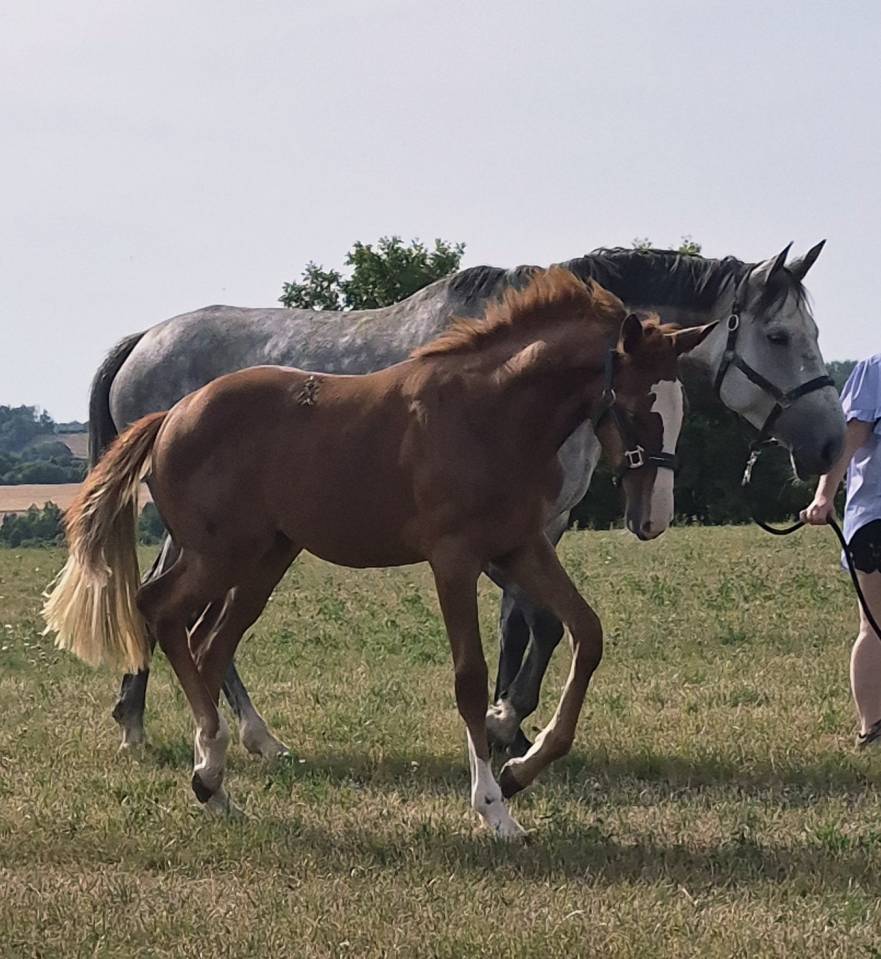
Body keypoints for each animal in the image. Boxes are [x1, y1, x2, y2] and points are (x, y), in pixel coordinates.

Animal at [45, 271, 713, 836]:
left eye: (681, 410)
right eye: (637, 409)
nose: (653, 518)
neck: (490, 415)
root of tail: (170, 415)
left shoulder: (520, 548)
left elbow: (586, 633)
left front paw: (522, 768)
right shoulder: (454, 559)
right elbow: (471, 679)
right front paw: (493, 807)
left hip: (265, 560)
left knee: (208, 643)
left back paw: (216, 779)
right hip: (220, 555)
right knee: (159, 610)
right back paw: (205, 758)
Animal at [90, 243, 844, 758]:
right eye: (779, 336)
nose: (831, 443)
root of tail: (143, 339)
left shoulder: (537, 526)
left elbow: (530, 624)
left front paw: (511, 723)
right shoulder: (521, 525)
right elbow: (535, 623)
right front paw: (507, 721)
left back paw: (178, 722)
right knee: (176, 608)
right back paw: (225, 730)